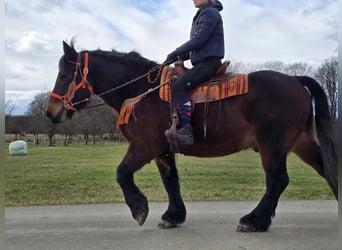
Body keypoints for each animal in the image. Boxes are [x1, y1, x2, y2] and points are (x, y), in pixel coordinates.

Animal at [46, 41, 338, 232]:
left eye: (64, 74)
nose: (50, 112)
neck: (143, 93)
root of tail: (295, 80)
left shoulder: (144, 147)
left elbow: (122, 173)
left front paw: (139, 208)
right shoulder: (162, 151)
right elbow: (170, 182)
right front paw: (173, 216)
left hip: (273, 146)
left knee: (277, 180)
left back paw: (254, 220)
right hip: (301, 143)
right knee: (326, 170)